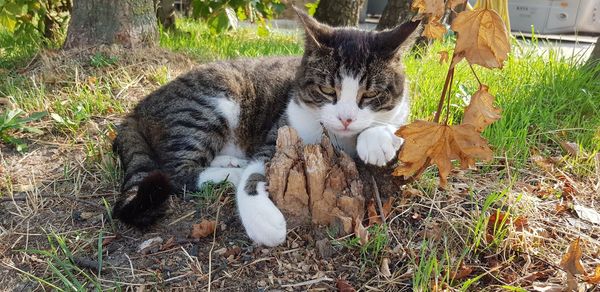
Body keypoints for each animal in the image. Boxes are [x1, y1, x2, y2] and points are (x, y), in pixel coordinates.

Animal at [113, 8, 422, 246]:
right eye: (326, 90)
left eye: (369, 95)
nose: (346, 118)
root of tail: (138, 107)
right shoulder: (280, 133)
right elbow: (255, 173)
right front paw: (264, 223)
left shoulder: (401, 111)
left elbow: (405, 127)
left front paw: (376, 140)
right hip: (210, 103)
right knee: (178, 172)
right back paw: (232, 173)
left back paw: (230, 162)